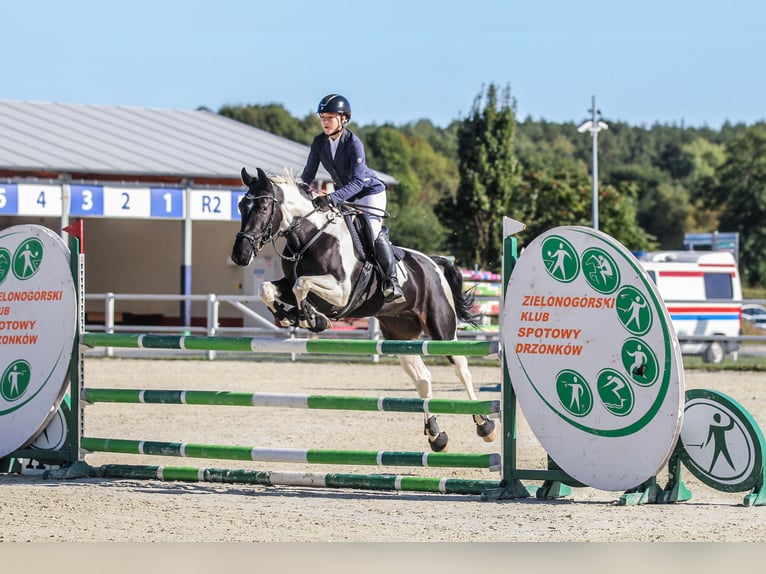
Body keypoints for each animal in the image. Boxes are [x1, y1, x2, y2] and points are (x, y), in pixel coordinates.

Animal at [231, 168, 500, 454]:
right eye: (241, 206)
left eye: (262, 207)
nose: (240, 255)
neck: (311, 237)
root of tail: (433, 262)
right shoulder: (292, 283)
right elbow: (269, 288)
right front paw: (288, 316)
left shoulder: (341, 291)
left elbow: (301, 284)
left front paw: (313, 319)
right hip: (400, 335)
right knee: (423, 378)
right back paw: (437, 436)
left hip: (442, 329)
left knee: (462, 368)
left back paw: (484, 425)